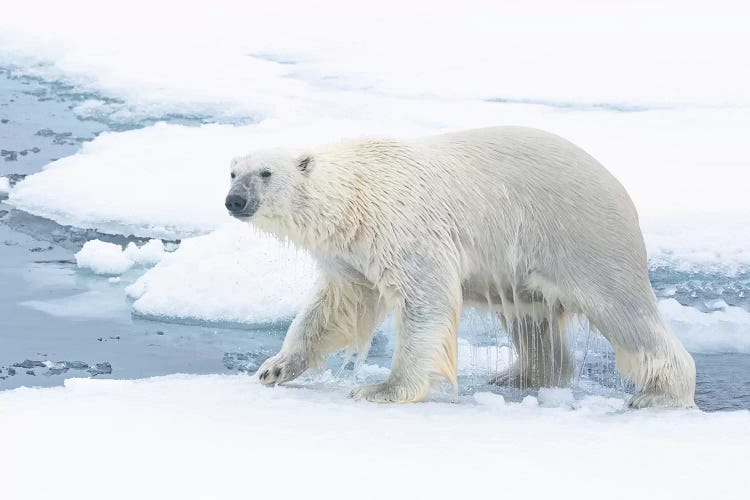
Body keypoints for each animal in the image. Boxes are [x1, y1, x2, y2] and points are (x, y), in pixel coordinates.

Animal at [225, 124, 700, 406]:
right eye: (232, 173)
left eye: (265, 173)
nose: (235, 201)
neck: (356, 197)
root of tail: (620, 190)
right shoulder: (352, 252)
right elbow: (336, 305)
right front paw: (274, 367)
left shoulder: (404, 227)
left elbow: (426, 298)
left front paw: (381, 388)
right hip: (524, 267)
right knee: (531, 319)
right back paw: (518, 376)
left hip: (584, 239)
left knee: (624, 312)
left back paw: (658, 394)